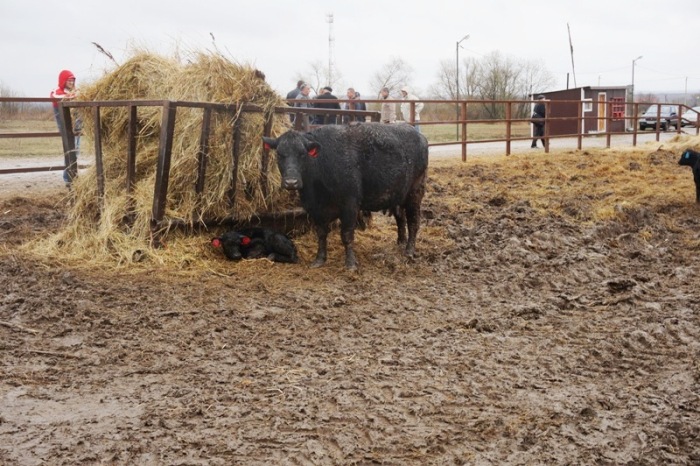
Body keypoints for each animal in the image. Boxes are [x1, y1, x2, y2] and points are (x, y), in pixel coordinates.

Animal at [262, 122, 426, 272]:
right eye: (279, 154)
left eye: (302, 154)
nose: (291, 182)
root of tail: (417, 133)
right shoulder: (315, 209)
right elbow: (321, 234)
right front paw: (319, 259)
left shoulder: (350, 205)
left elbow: (346, 235)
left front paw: (350, 263)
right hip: (398, 196)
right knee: (401, 218)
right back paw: (401, 242)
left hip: (415, 193)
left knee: (413, 222)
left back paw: (409, 251)